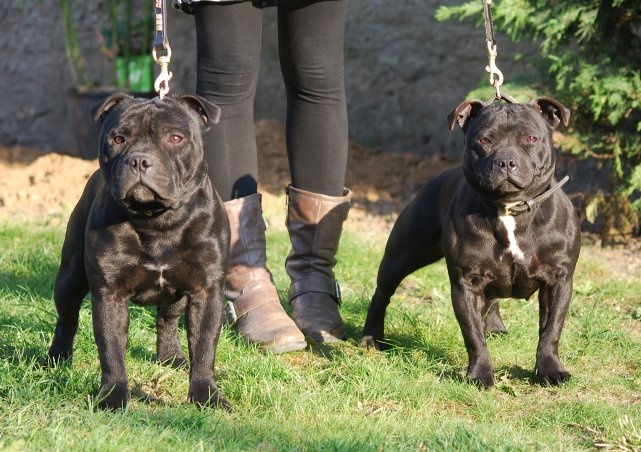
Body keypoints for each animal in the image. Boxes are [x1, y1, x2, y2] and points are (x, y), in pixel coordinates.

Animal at [45, 94, 230, 410]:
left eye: (175, 137)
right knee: (67, 318)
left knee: (167, 319)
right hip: (70, 277)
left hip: (179, 295)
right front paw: (113, 397)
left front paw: (207, 396)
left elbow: (205, 349)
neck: (157, 220)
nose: (140, 160)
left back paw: (171, 356)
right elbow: (111, 351)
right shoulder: (109, 294)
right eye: (118, 138)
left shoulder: (206, 293)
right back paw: (57, 358)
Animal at [360, 98, 580, 388]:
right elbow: (473, 335)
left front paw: (550, 370)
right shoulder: (466, 284)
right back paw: (371, 337)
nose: (506, 161)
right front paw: (480, 373)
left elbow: (551, 330)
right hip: (402, 256)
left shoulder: (558, 280)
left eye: (531, 138)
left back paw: (495, 326)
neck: (509, 210)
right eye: (484, 140)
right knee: (381, 294)